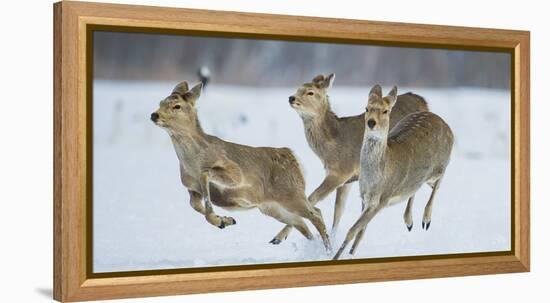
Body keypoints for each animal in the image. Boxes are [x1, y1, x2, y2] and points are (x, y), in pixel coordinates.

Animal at [151, 81, 332, 252]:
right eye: (160, 102)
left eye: (177, 106)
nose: (154, 115)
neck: (192, 163)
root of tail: (293, 157)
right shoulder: (191, 188)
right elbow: (194, 205)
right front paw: (225, 221)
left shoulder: (235, 173)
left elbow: (206, 175)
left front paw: (220, 220)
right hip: (271, 207)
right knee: (302, 223)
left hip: (290, 193)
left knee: (316, 214)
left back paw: (327, 249)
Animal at [272, 75, 432, 246]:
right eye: (298, 88)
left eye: (310, 92)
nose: (291, 98)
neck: (331, 145)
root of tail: (423, 101)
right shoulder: (347, 180)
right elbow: (338, 210)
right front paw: (332, 238)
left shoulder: (341, 171)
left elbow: (312, 197)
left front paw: (278, 237)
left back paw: (414, 221)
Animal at [334, 84, 454, 260]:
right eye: (366, 108)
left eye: (386, 111)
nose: (371, 122)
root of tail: (445, 123)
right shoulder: (364, 197)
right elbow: (360, 232)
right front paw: (349, 255)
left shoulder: (382, 199)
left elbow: (352, 230)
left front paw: (334, 257)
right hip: (421, 179)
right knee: (419, 188)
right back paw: (409, 221)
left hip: (440, 165)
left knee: (439, 182)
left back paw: (426, 220)